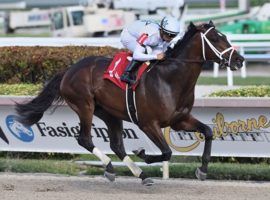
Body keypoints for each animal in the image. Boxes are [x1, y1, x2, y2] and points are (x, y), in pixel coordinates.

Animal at [15, 21, 244, 186]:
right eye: (214, 38)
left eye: (225, 36)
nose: (239, 60)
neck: (170, 79)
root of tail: (68, 70)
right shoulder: (148, 124)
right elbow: (167, 152)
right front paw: (142, 153)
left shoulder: (180, 120)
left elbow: (208, 132)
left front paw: (202, 170)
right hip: (84, 106)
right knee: (85, 139)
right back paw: (111, 167)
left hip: (109, 113)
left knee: (116, 145)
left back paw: (139, 174)